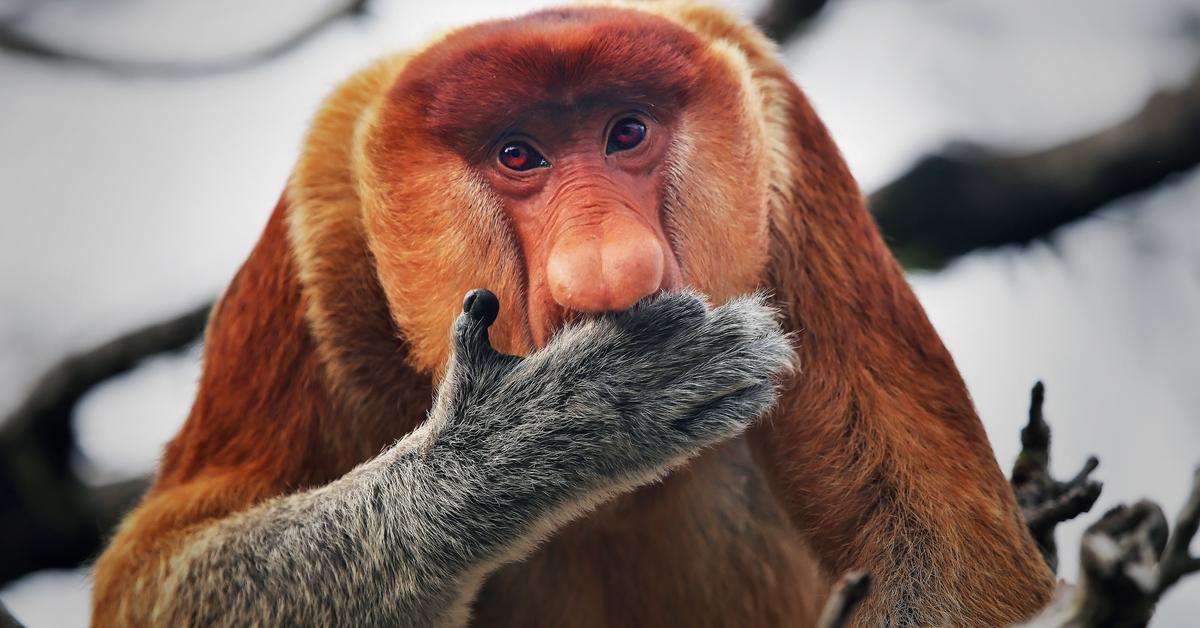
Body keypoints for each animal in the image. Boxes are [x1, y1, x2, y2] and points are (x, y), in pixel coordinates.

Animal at [93, 2, 1056, 624]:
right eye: (518, 154)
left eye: (627, 132)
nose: (610, 268)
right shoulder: (321, 222)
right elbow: (156, 573)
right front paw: (570, 421)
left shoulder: (786, 144)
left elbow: (943, 552)